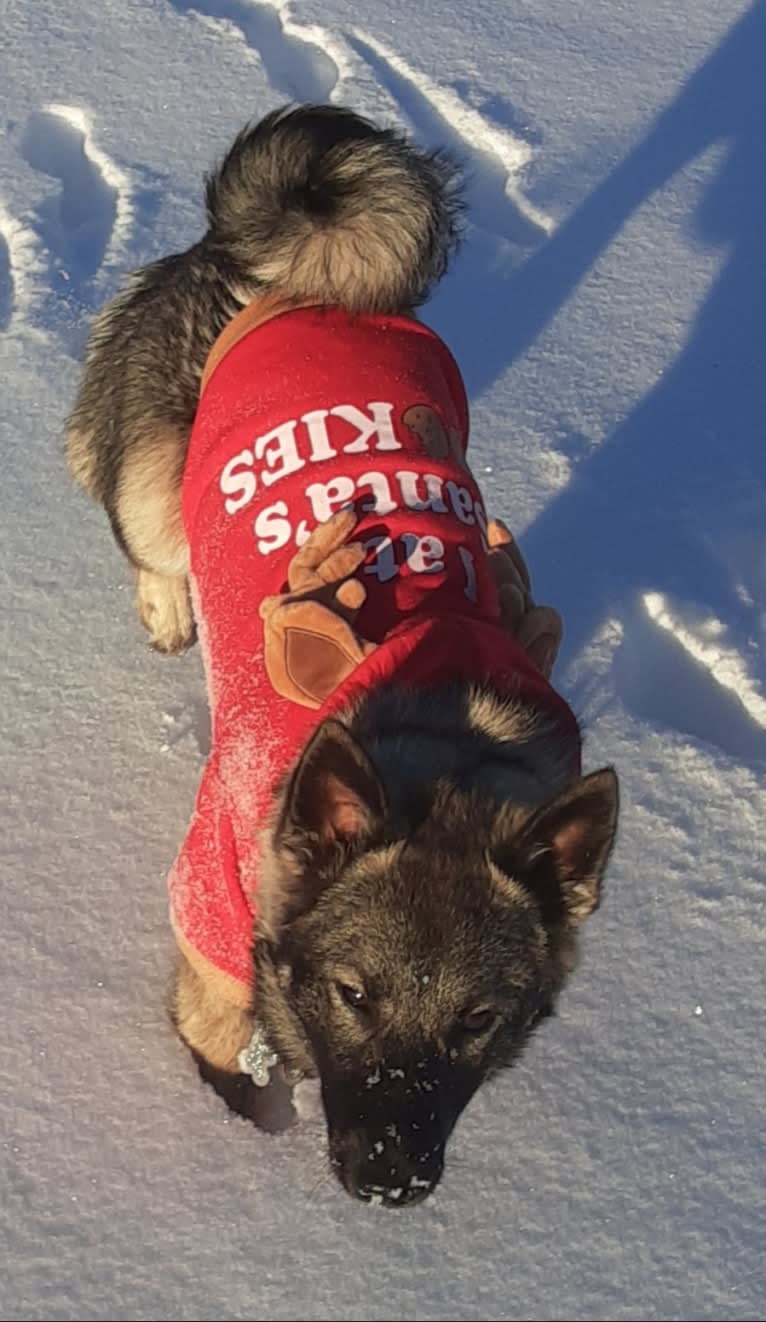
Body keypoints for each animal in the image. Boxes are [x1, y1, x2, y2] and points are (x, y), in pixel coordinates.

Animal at [64, 108, 616, 1210]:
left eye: (478, 1021)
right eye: (354, 994)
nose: (387, 1178)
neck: (443, 743)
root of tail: (290, 275)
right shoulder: (213, 908)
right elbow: (219, 1035)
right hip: (151, 482)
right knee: (142, 530)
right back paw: (169, 606)